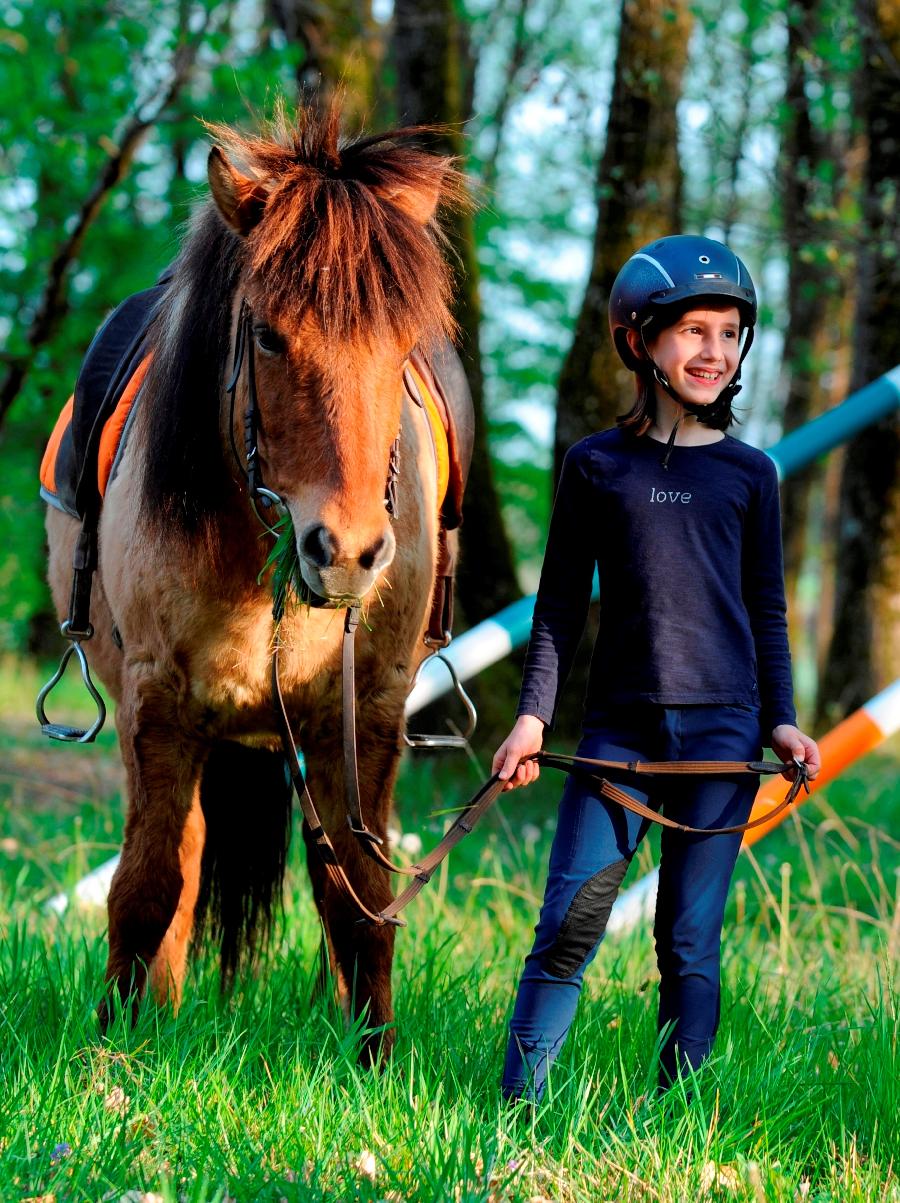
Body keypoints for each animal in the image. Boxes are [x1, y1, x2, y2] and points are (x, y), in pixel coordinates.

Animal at [47, 105, 471, 1063]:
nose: (347, 552)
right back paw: (156, 1014)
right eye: (270, 333)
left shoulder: (368, 709)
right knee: (178, 857)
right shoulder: (157, 702)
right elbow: (146, 884)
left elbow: (361, 893)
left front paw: (374, 1058)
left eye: (403, 348)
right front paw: (114, 1050)